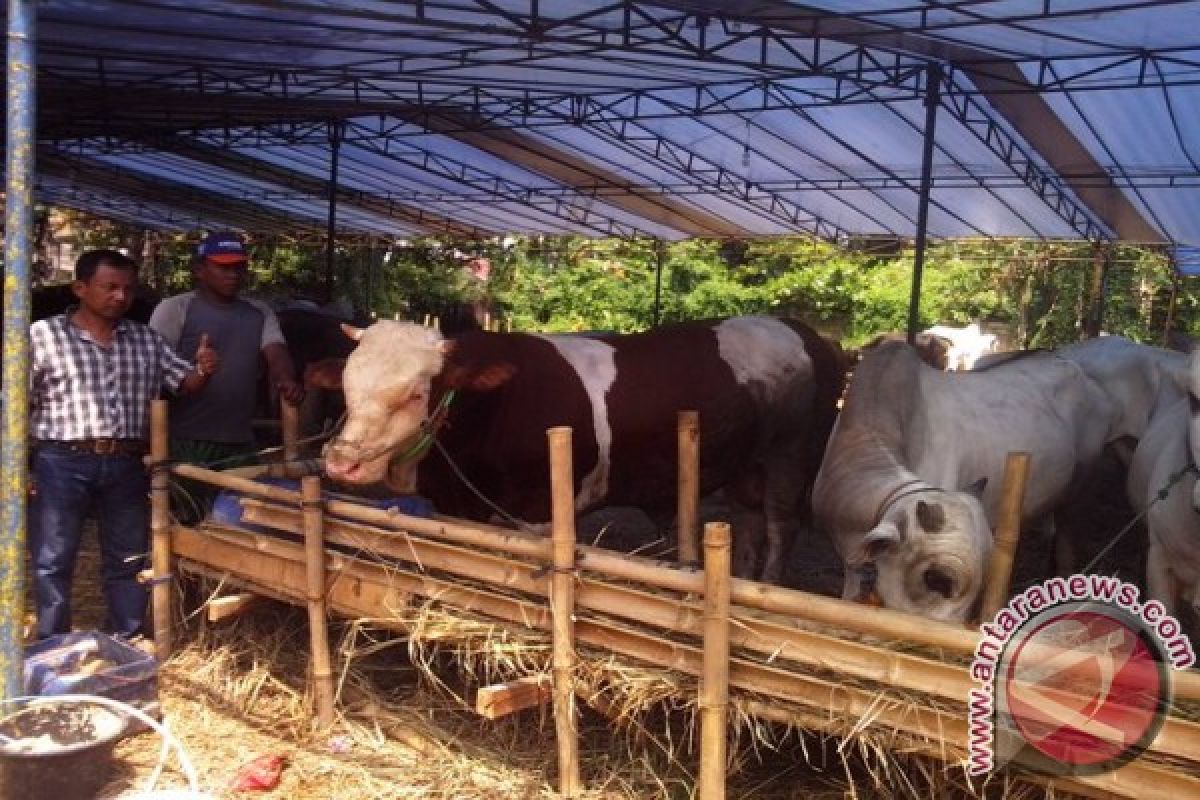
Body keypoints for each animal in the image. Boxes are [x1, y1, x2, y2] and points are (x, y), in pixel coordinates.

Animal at [319, 314, 844, 582]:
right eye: (346, 384)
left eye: (414, 393)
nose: (343, 462)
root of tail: (806, 332)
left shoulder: (536, 515)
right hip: (743, 467)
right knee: (751, 524)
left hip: (790, 459)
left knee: (780, 527)